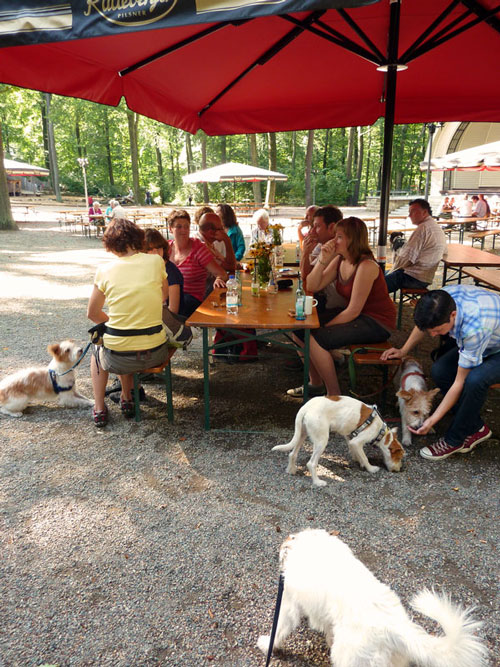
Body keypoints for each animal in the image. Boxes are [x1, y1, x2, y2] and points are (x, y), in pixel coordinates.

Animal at [273, 395, 404, 487]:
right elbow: (365, 457)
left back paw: (291, 470)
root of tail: (306, 407)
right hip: (321, 441)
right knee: (311, 463)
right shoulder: (357, 441)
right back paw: (318, 482)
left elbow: (356, 452)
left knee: (292, 454)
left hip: (302, 434)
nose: (399, 470)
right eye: (399, 457)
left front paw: (359, 461)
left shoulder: (349, 438)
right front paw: (371, 468)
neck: (381, 431)